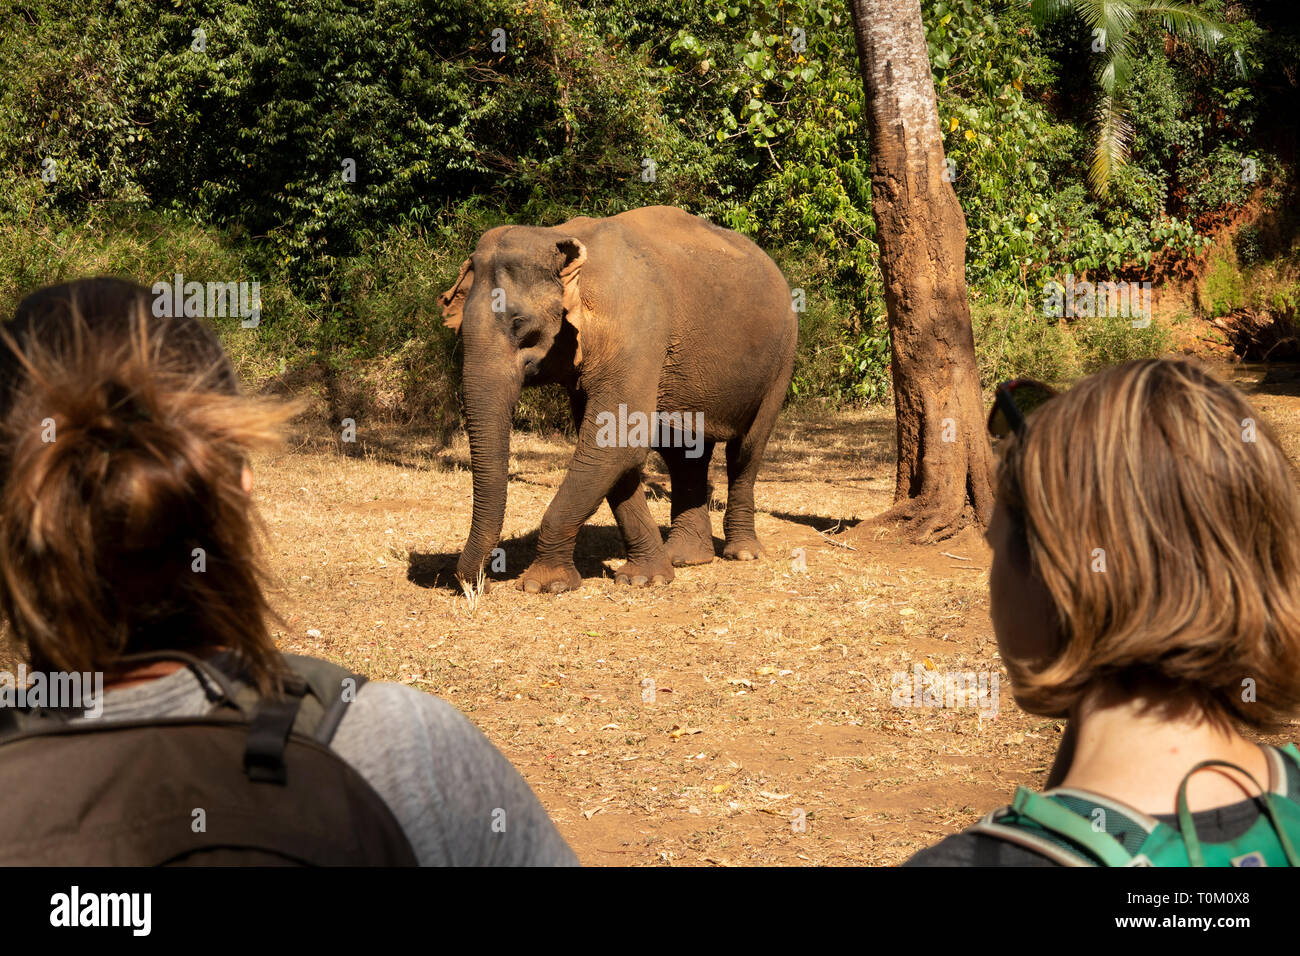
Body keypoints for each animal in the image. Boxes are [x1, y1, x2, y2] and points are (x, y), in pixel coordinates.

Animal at [440, 205, 797, 593]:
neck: (561, 237)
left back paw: (743, 553)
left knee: (746, 451)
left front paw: (543, 586)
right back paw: (685, 558)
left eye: (521, 324)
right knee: (684, 454)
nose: (483, 584)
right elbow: (612, 450)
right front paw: (645, 578)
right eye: (461, 327)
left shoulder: (636, 333)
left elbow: (613, 443)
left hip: (781, 360)